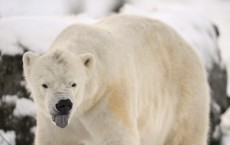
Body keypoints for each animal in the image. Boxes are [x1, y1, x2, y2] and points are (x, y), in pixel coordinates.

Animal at [22, 15, 210, 145]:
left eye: (74, 83)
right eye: (44, 84)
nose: (63, 104)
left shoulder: (109, 98)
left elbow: (117, 136)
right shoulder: (50, 119)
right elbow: (54, 139)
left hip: (184, 99)